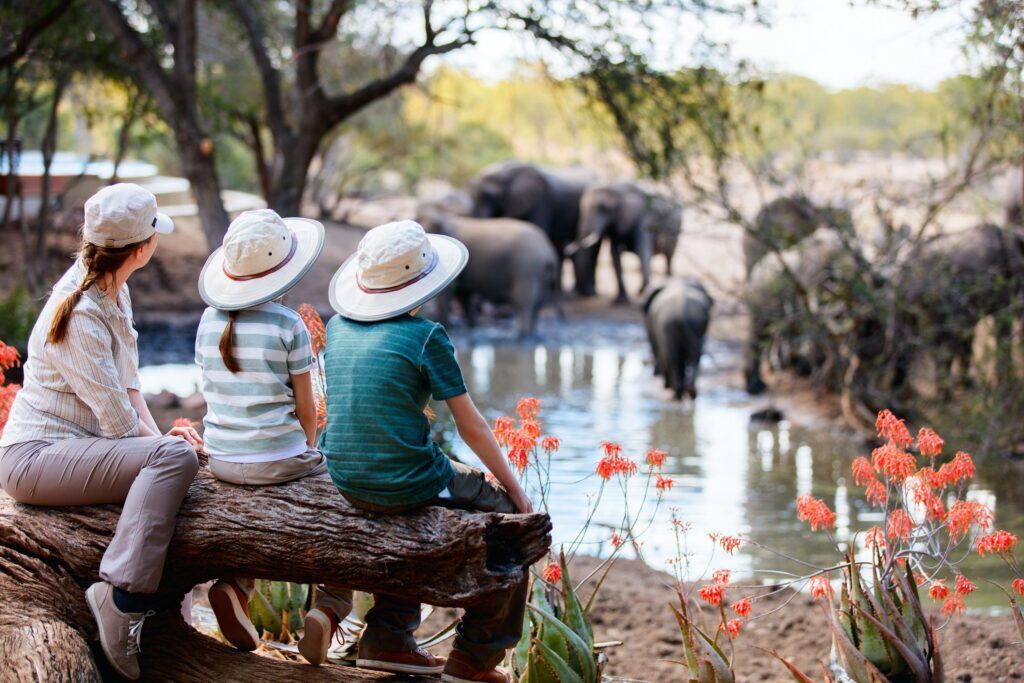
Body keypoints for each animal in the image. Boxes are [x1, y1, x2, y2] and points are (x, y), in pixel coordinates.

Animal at [415, 206, 561, 337]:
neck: (444, 217)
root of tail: (548, 252)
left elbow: (449, 294)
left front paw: (449, 326)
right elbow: (463, 294)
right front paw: (472, 326)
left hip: (527, 268)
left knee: (524, 302)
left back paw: (522, 336)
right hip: (541, 273)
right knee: (538, 303)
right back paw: (532, 334)